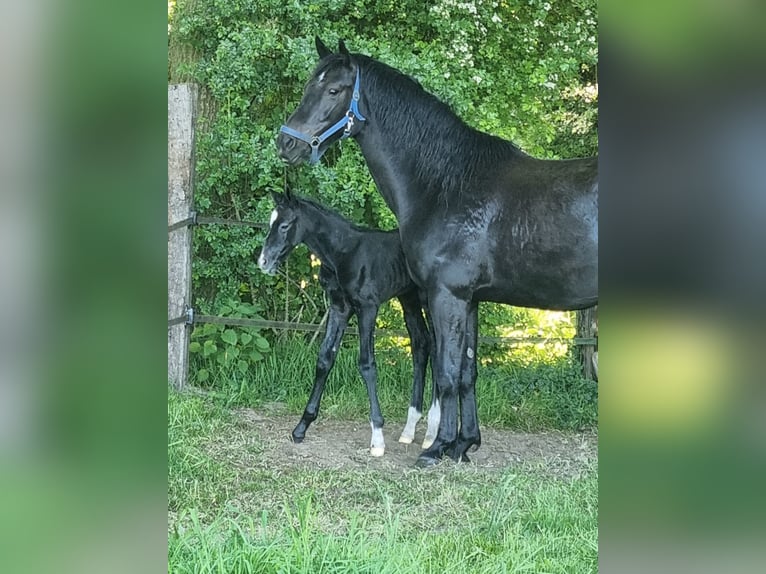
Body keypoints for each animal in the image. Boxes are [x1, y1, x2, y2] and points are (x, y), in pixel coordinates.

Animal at [257, 190, 439, 456]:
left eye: (284, 225)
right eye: (271, 222)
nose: (263, 261)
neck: (344, 253)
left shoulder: (367, 308)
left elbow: (367, 364)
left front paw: (377, 438)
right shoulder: (339, 308)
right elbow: (325, 359)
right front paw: (301, 427)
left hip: (428, 301)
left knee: (439, 351)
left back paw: (432, 432)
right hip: (409, 299)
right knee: (421, 345)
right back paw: (410, 429)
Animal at [276, 38, 598, 467]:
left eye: (333, 90)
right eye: (309, 85)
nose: (286, 143)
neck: (446, 183)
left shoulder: (447, 296)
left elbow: (445, 374)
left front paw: (437, 447)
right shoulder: (470, 300)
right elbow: (466, 373)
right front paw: (464, 444)